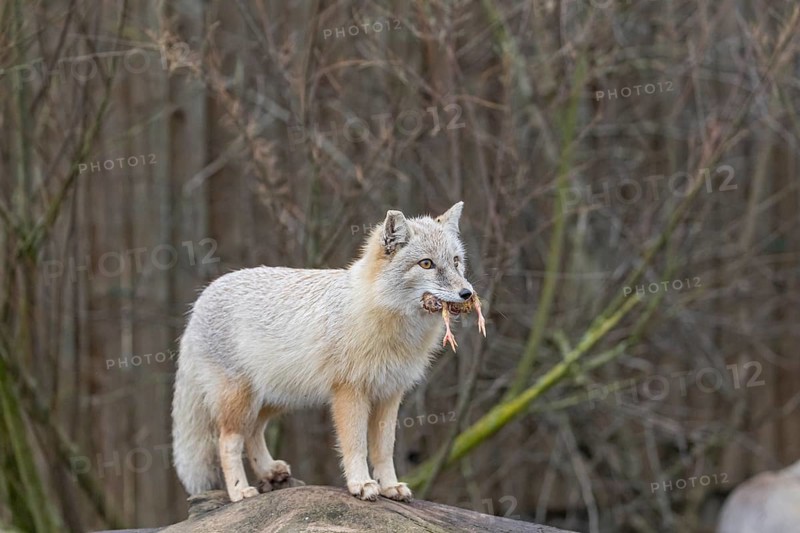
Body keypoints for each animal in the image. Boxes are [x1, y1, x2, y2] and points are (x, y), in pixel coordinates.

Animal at [171, 201, 481, 503]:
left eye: (456, 261)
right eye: (426, 264)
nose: (467, 293)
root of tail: (202, 297)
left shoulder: (389, 393)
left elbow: (383, 450)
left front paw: (390, 486)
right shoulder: (349, 392)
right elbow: (355, 446)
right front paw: (361, 484)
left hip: (273, 400)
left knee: (253, 432)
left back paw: (269, 471)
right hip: (241, 402)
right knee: (228, 442)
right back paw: (239, 492)